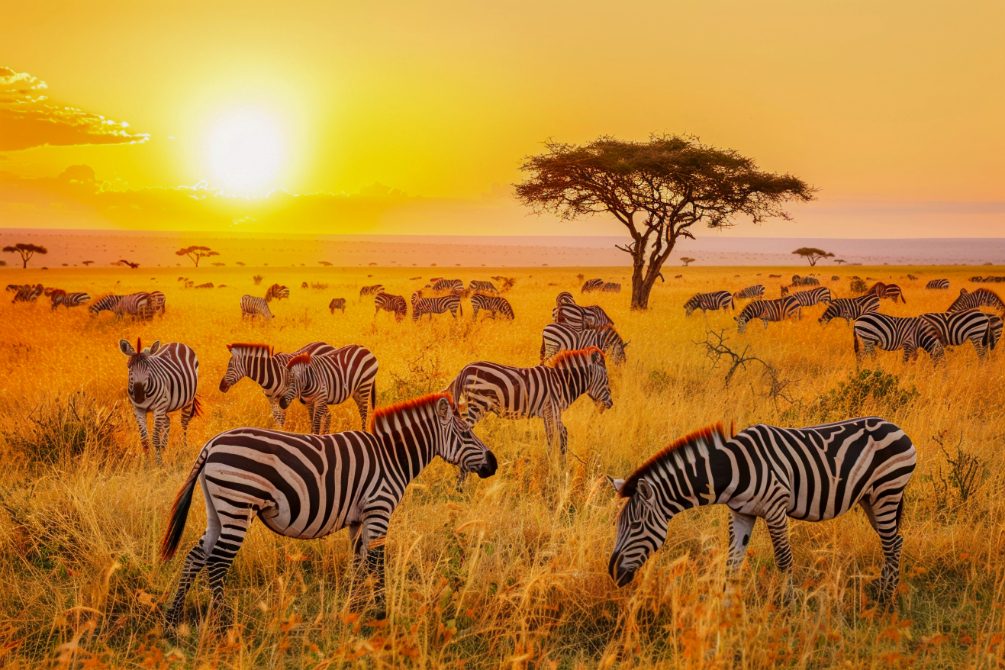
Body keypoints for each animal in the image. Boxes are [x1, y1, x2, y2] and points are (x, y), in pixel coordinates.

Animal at [160, 393, 498, 627]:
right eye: (466, 434)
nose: (493, 464)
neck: (392, 456)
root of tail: (212, 444)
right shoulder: (379, 508)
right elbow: (377, 563)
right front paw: (380, 612)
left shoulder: (359, 518)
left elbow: (359, 564)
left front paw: (354, 610)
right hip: (237, 503)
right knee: (216, 562)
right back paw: (224, 623)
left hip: (218, 508)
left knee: (195, 556)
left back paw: (173, 618)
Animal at [447, 347, 613, 456]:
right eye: (606, 379)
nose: (611, 404)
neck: (561, 381)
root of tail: (465, 369)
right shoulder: (552, 409)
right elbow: (559, 436)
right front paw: (555, 466)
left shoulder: (549, 413)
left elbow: (554, 436)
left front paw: (554, 462)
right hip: (477, 405)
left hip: (470, 405)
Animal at [607, 418, 915, 604]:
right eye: (618, 526)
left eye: (635, 526)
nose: (612, 572)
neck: (731, 470)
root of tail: (896, 427)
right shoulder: (741, 513)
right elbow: (732, 562)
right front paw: (726, 607)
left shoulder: (776, 508)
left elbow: (784, 559)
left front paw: (788, 604)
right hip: (871, 498)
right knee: (895, 540)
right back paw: (883, 589)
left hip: (888, 491)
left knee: (891, 543)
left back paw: (888, 598)